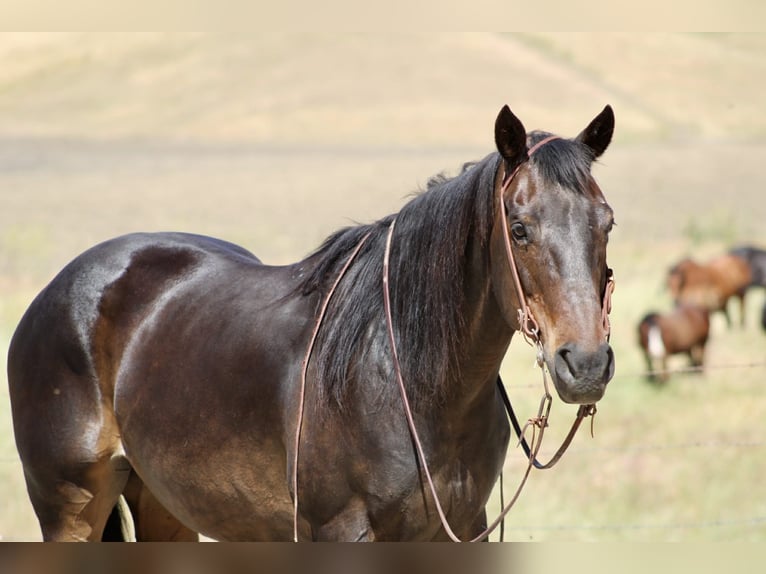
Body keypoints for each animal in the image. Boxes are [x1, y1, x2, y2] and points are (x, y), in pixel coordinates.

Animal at [7, 104, 616, 542]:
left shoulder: (463, 529)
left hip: (164, 505)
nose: (585, 364)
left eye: (607, 222)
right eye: (519, 228)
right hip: (71, 509)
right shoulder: (343, 531)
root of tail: (54, 293)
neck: (407, 378)